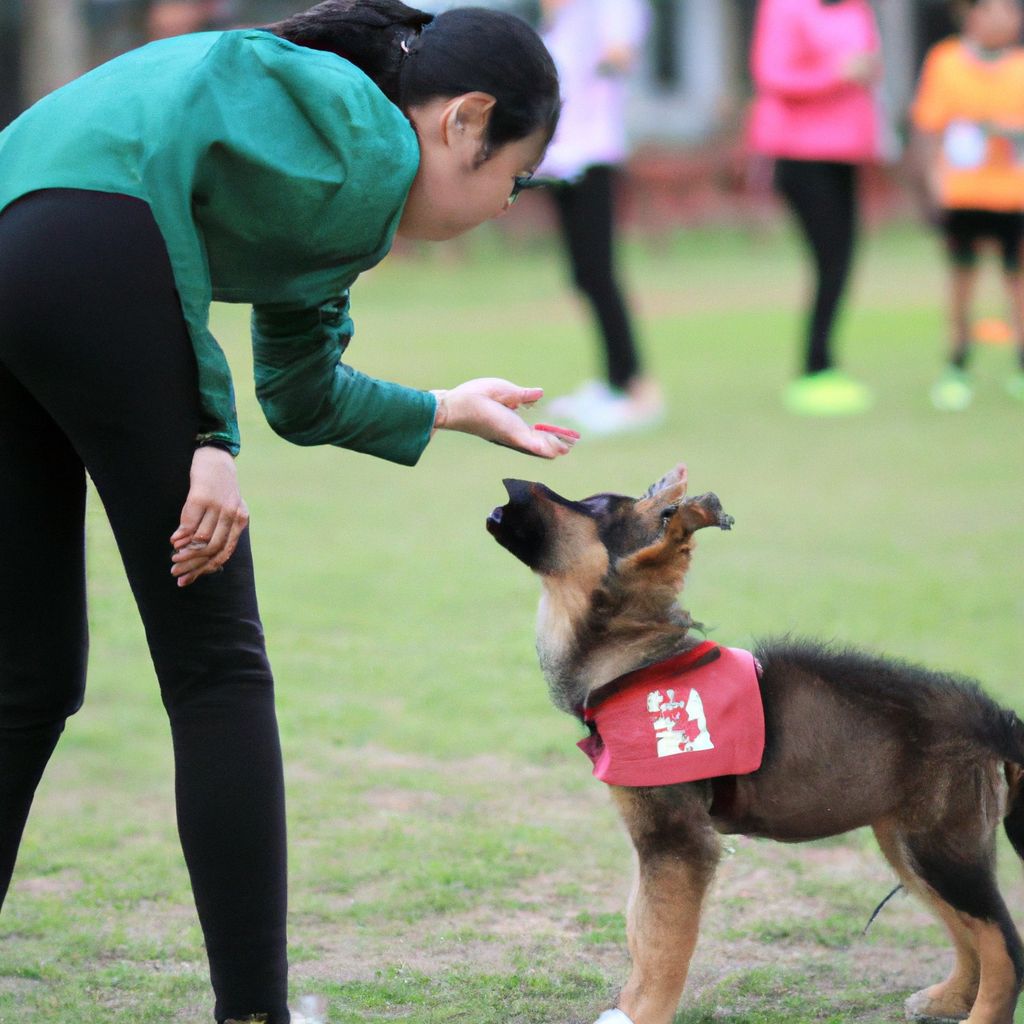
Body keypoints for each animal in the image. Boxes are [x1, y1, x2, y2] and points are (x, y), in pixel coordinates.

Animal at [485, 466, 1024, 1024]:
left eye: (593, 508)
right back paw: (950, 997)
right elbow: (640, 931)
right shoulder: (655, 843)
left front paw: (641, 1013)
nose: (512, 478)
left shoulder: (679, 842)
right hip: (907, 839)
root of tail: (993, 717)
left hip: (938, 841)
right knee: (966, 926)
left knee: (1002, 940)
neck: (637, 662)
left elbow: (660, 944)